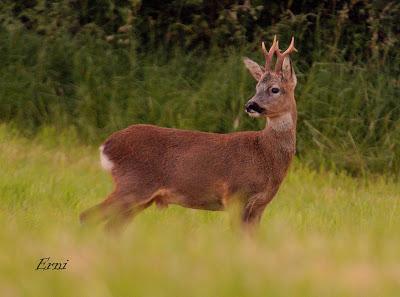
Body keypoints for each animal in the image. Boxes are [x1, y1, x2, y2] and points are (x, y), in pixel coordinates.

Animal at [80, 36, 296, 231]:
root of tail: (106, 145)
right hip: (133, 184)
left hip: (138, 196)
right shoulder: (235, 195)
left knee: (111, 227)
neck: (265, 153)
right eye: (257, 87)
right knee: (87, 216)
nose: (250, 105)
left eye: (274, 89)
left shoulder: (260, 205)